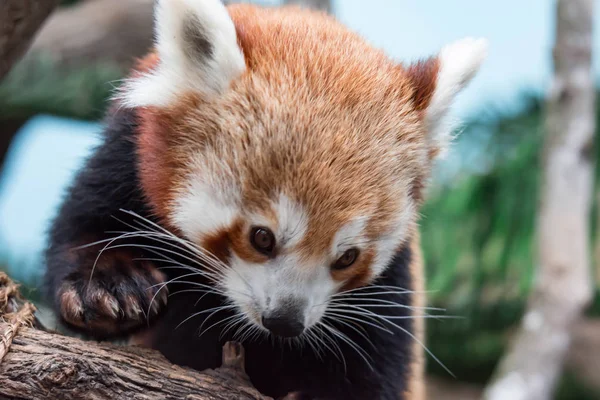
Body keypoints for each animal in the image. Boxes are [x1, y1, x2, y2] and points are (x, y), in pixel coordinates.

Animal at [43, 1, 482, 398]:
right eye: (262, 237)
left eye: (347, 257)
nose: (285, 320)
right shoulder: (129, 153)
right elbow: (84, 223)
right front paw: (110, 284)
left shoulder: (393, 286)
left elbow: (377, 370)